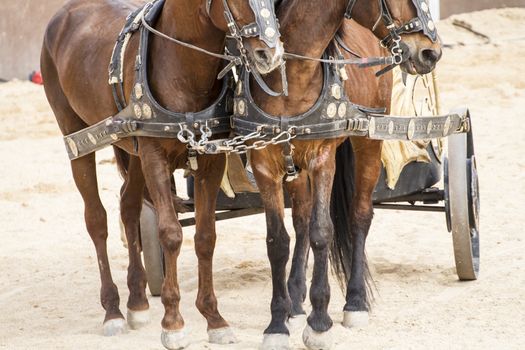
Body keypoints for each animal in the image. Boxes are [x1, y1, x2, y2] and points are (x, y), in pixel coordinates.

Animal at [41, 0, 282, 348]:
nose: (270, 54)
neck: (181, 66)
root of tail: (65, 13)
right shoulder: (154, 157)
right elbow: (170, 234)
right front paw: (173, 322)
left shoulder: (210, 160)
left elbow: (205, 237)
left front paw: (214, 318)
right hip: (76, 137)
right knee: (96, 219)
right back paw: (112, 310)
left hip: (133, 151)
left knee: (128, 207)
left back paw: (137, 302)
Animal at [244, 0, 440, 350]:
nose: (432, 52)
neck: (292, 77)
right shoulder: (266, 163)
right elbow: (278, 241)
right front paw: (278, 323)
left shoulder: (323, 158)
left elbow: (323, 231)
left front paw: (320, 323)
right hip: (295, 168)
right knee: (301, 220)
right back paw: (295, 300)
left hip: (368, 144)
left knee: (360, 215)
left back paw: (355, 302)